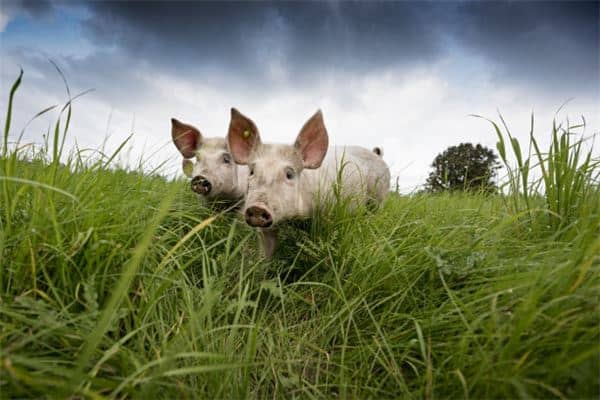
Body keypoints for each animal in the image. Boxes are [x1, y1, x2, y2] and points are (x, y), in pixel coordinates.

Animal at [225, 107, 390, 256]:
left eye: (289, 174)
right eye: (252, 171)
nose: (257, 208)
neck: (294, 219)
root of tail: (378, 156)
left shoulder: (327, 215)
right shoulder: (267, 230)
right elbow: (267, 251)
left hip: (379, 198)